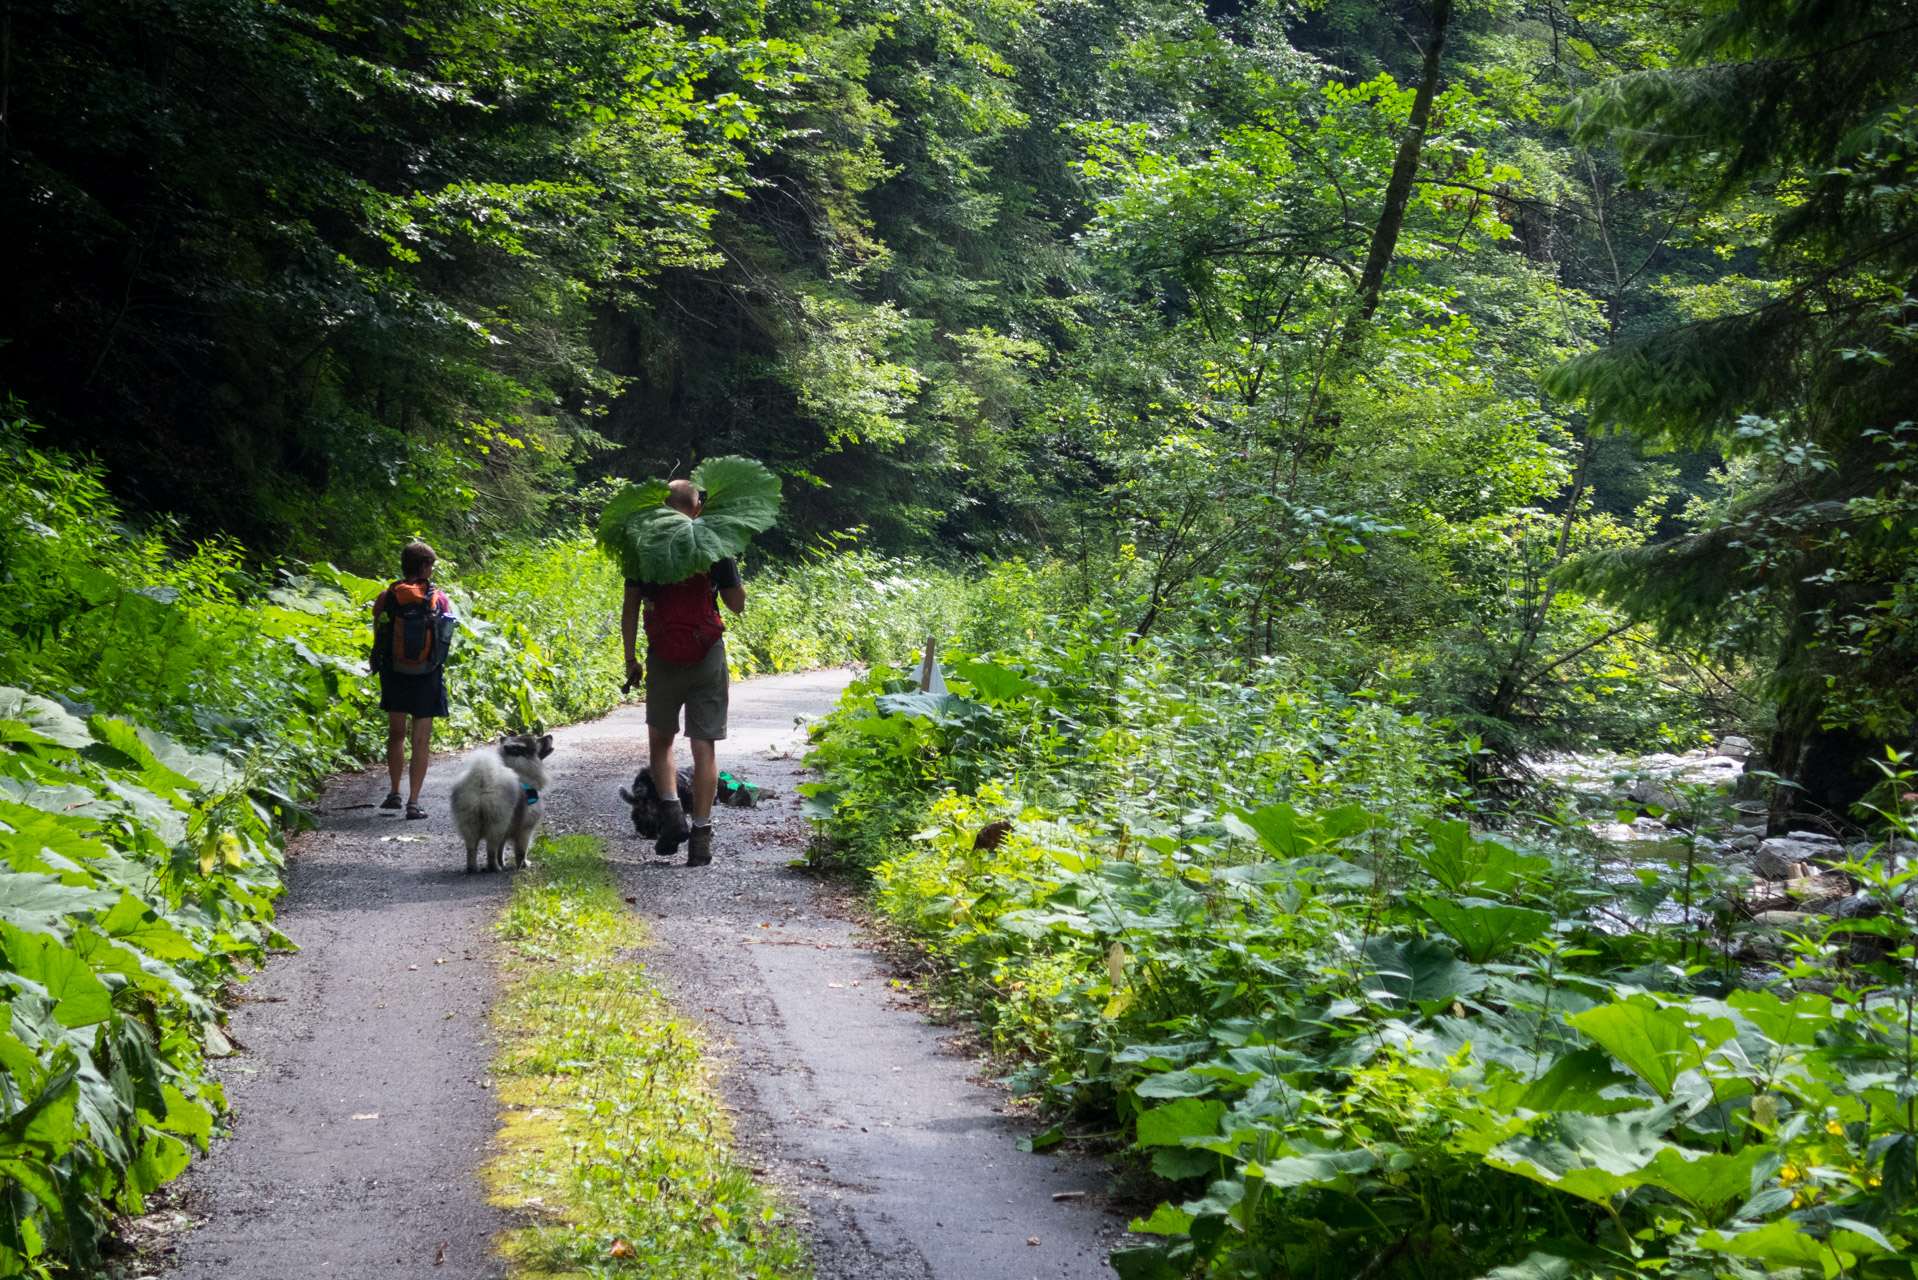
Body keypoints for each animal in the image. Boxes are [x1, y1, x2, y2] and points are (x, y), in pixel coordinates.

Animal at [454, 736, 556, 875]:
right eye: (536, 742)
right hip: (497, 824)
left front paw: (502, 862)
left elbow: (501, 849)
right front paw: (523, 865)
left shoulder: (507, 831)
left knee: (472, 850)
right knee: (490, 850)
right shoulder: (525, 829)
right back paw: (494, 868)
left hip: (471, 825)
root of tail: (482, 783)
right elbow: (521, 851)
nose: (550, 736)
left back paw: (473, 868)